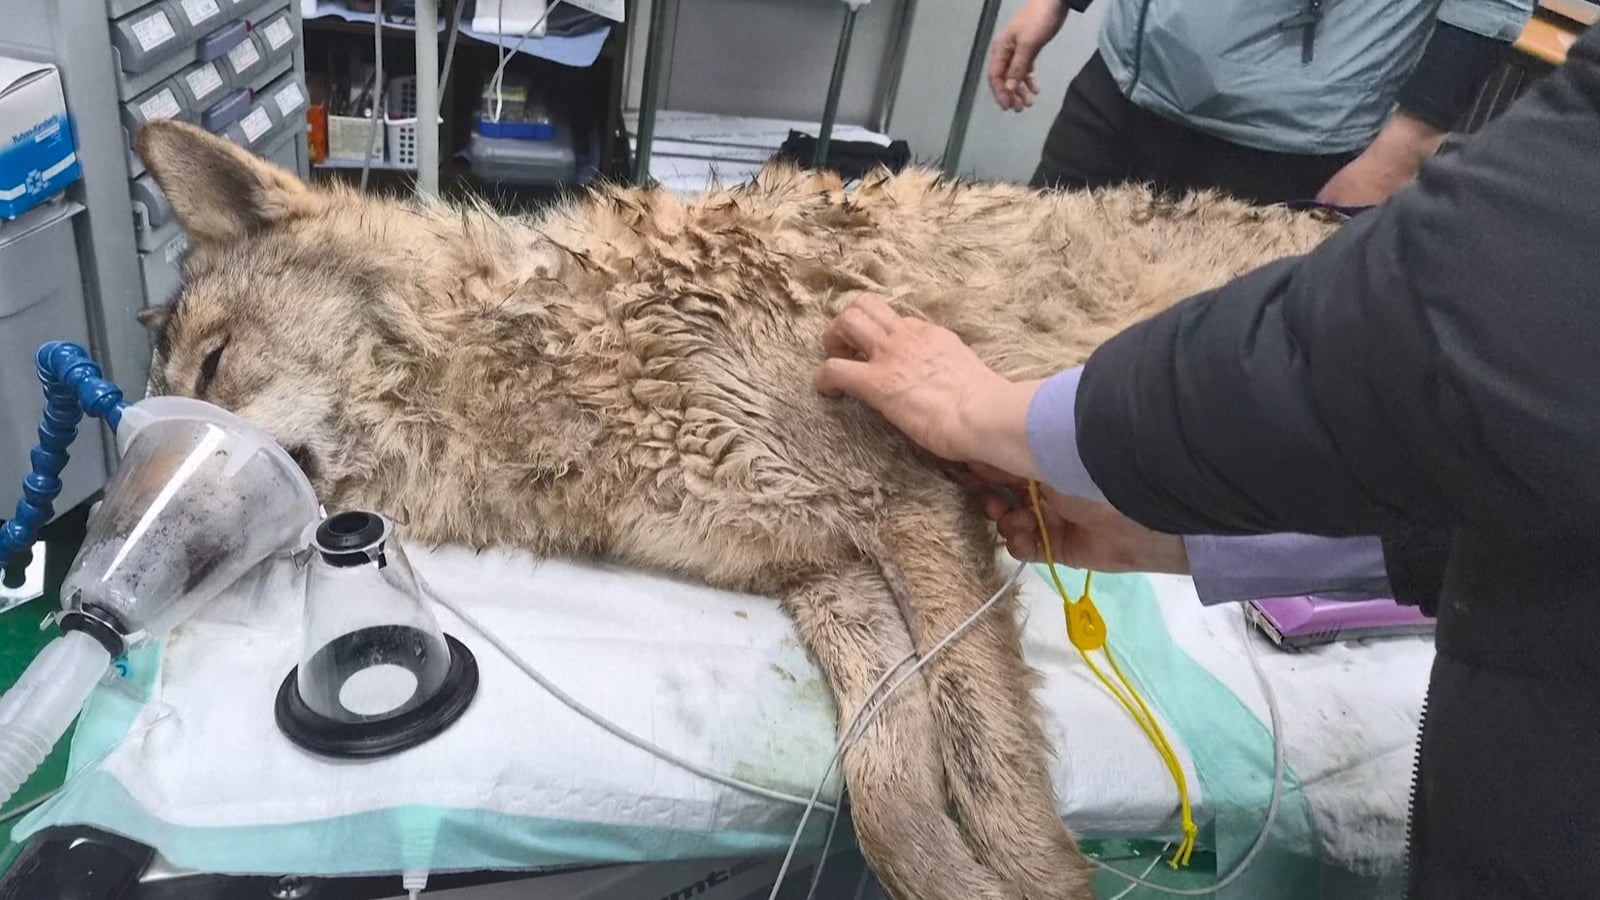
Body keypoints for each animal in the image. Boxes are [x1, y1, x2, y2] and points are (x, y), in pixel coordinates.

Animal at [132, 120, 1338, 900]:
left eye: (217, 365)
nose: (140, 561)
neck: (539, 359)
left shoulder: (913, 505)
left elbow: (986, 764)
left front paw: (1037, 881)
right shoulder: (826, 574)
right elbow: (890, 792)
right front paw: (958, 877)